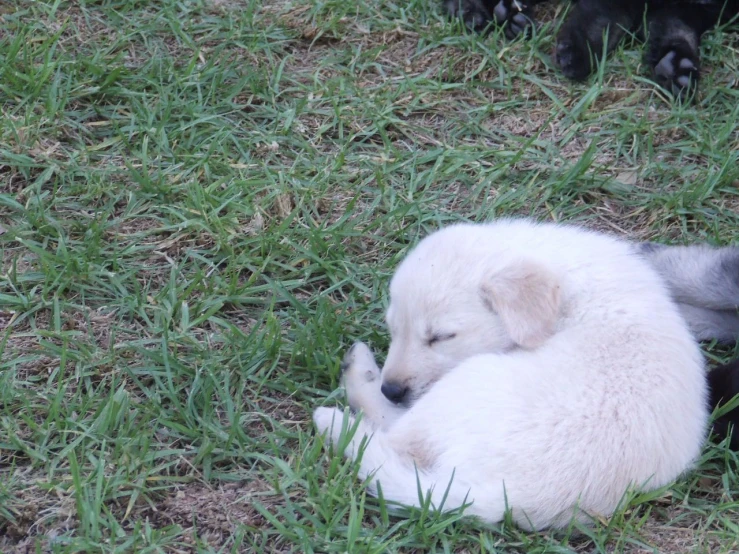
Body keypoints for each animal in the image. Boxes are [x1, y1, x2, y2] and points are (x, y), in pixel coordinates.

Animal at [442, 0, 736, 98]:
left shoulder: (689, 11)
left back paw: (511, 17)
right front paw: (577, 51)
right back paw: (473, 12)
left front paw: (675, 67)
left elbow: (678, 32)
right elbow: (598, 20)